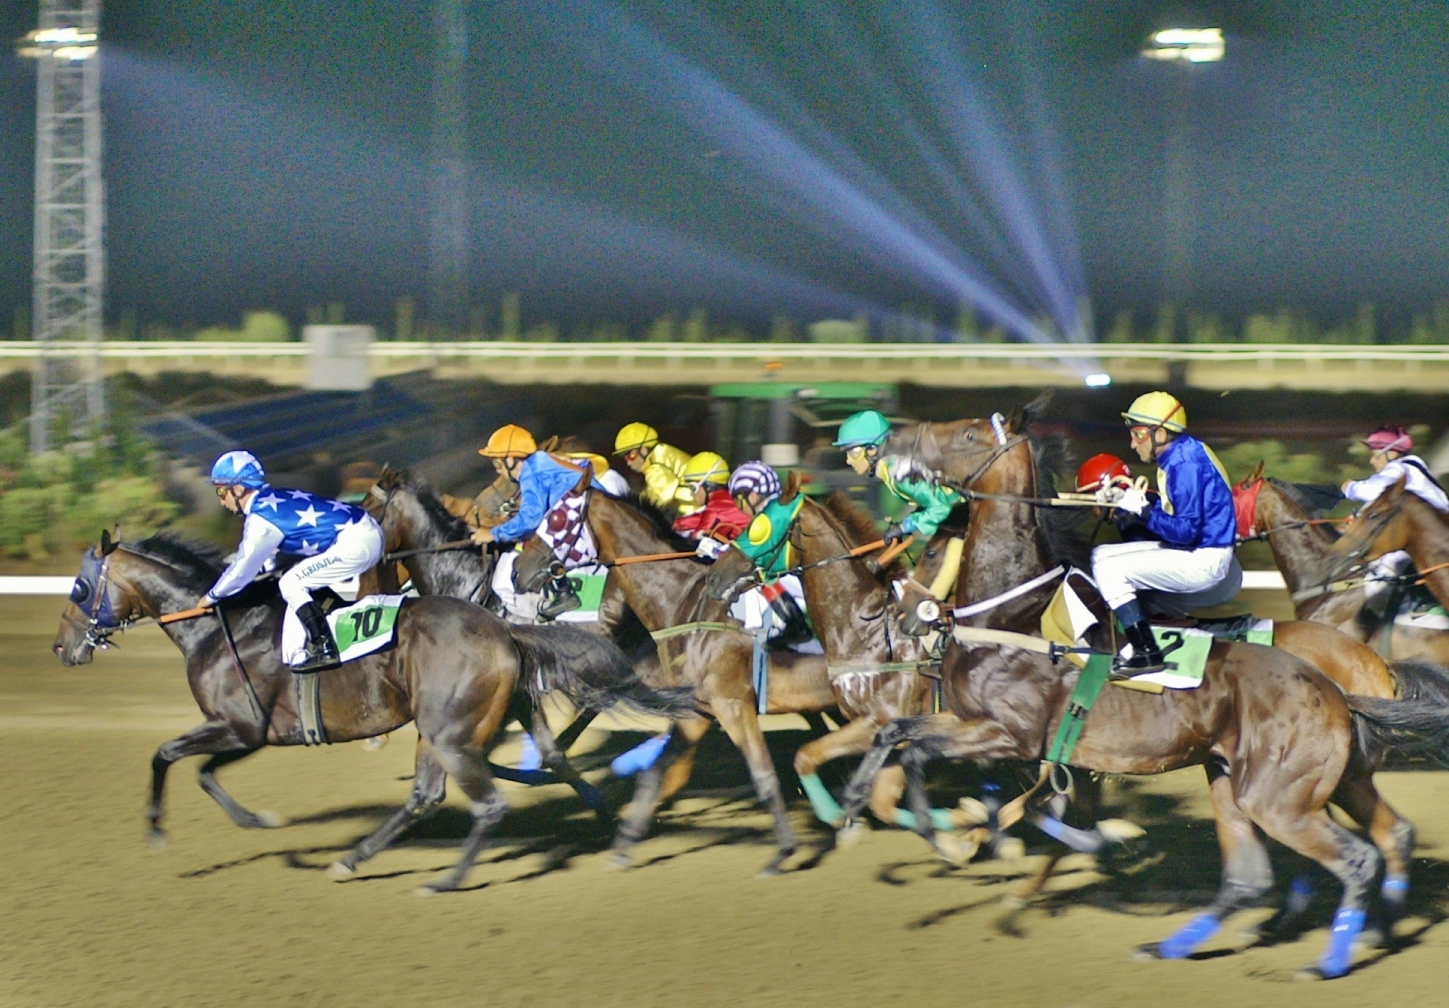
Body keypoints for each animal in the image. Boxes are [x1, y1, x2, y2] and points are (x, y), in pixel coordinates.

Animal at [51, 527, 695, 892]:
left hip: (449, 731)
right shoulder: (250, 733)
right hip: (463, 722)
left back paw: (445, 881)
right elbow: (206, 773)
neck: (216, 624)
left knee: (485, 804)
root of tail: (505, 631)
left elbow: (165, 756)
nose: (61, 647)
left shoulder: (237, 726)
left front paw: (157, 832)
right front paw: (260, 821)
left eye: (79, 588)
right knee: (507, 771)